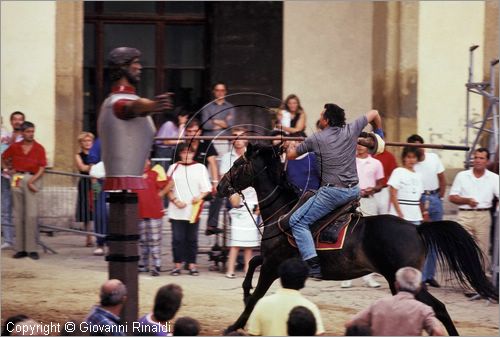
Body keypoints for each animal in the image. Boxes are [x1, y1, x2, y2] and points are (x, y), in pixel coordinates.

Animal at [217, 143, 498, 334]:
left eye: (238, 164)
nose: (220, 186)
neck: (283, 212)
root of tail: (416, 228)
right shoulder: (269, 261)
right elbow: (251, 264)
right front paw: (244, 291)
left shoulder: (273, 266)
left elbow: (256, 297)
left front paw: (235, 324)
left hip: (404, 280)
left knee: (438, 308)